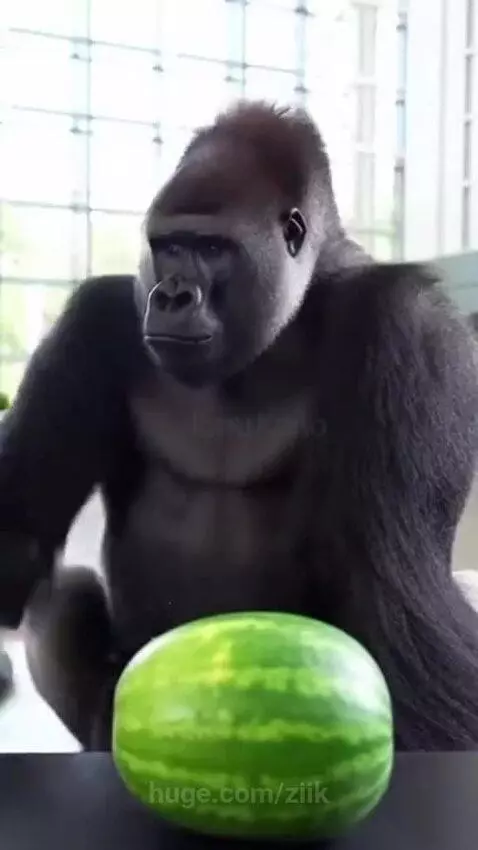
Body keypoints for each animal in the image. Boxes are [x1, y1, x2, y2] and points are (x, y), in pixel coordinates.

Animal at [0, 100, 477, 752]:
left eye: (212, 247)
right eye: (168, 246)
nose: (171, 295)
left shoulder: (408, 324)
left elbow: (400, 607)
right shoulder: (95, 317)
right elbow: (19, 537)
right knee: (63, 599)